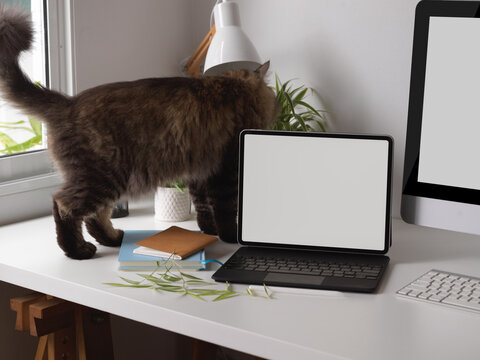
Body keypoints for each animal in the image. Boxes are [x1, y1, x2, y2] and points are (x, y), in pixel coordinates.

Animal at [0, 7, 278, 258]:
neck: (235, 88)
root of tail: (68, 102)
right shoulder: (226, 169)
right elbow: (225, 209)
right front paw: (229, 236)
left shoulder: (201, 171)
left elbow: (202, 207)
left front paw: (208, 231)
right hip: (101, 176)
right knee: (64, 206)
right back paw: (78, 250)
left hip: (110, 181)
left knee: (96, 215)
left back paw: (112, 238)